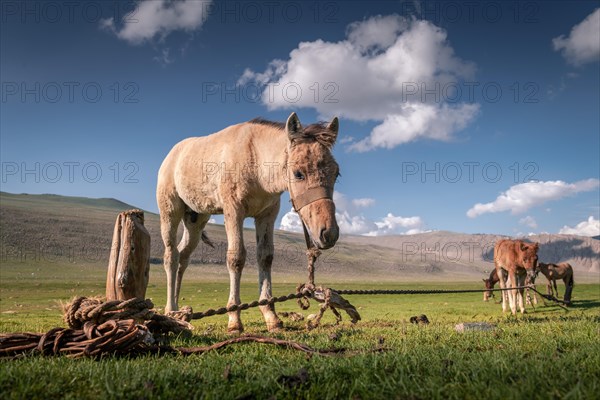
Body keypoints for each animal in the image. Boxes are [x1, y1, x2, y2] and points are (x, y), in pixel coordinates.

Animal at [157, 111, 340, 332]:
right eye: (298, 173)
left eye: (336, 174)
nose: (329, 233)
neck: (255, 160)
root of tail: (171, 155)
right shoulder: (233, 211)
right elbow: (236, 258)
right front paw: (234, 319)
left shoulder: (267, 215)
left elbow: (265, 257)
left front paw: (271, 316)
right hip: (170, 212)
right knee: (171, 256)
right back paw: (170, 309)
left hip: (195, 220)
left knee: (183, 256)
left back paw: (180, 314)